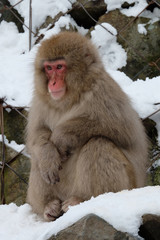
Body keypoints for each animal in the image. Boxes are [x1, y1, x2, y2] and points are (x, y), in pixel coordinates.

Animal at [26, 31, 148, 221]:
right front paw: (48, 155)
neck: (69, 99)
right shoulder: (40, 100)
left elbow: (123, 130)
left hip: (127, 185)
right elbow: (37, 134)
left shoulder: (103, 91)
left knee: (98, 143)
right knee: (37, 157)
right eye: (48, 68)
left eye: (59, 67)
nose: (52, 83)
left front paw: (62, 136)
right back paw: (49, 206)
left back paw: (81, 200)